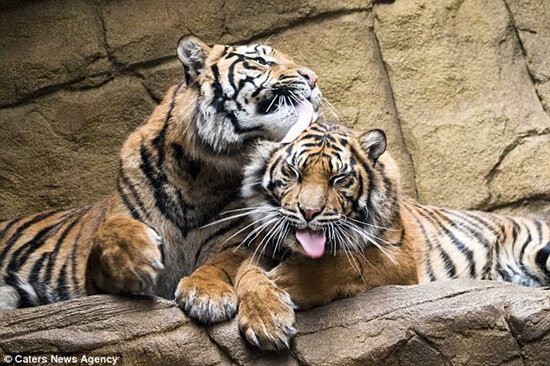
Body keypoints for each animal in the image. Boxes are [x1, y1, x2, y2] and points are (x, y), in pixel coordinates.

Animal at [0, 35, 324, 312]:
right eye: (261, 60)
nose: (313, 77)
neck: (201, 174)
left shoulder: (237, 240)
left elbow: (222, 262)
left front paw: (206, 293)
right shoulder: (93, 280)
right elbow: (109, 232)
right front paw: (137, 258)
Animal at [185, 121, 550, 350]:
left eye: (338, 179)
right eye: (294, 172)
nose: (309, 212)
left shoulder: (397, 257)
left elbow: (347, 263)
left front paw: (288, 282)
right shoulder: (265, 247)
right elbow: (248, 274)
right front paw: (266, 320)